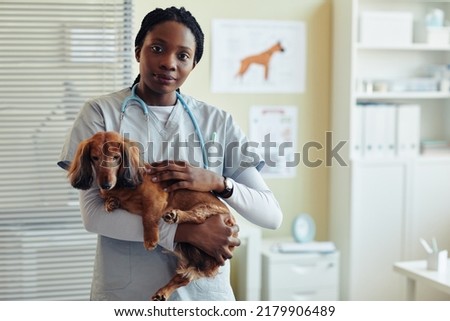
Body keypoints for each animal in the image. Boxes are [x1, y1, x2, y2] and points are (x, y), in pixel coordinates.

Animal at [67, 131, 236, 300]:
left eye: (116, 157)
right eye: (94, 158)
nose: (105, 185)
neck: (123, 186)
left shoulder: (155, 197)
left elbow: (147, 217)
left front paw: (150, 239)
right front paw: (111, 202)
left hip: (207, 209)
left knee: (198, 217)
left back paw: (175, 215)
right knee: (182, 279)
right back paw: (163, 292)